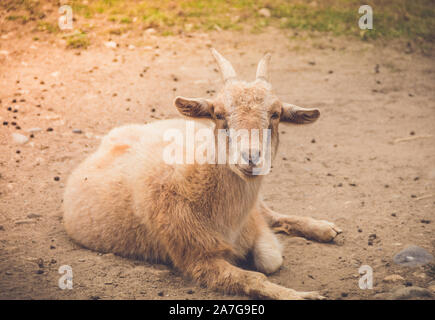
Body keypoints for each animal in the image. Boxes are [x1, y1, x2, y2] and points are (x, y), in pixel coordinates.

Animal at [63, 48, 344, 300]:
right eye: (218, 115)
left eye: (275, 114)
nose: (251, 158)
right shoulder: (195, 256)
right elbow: (255, 276)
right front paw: (302, 295)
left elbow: (270, 258)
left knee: (271, 212)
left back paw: (323, 228)